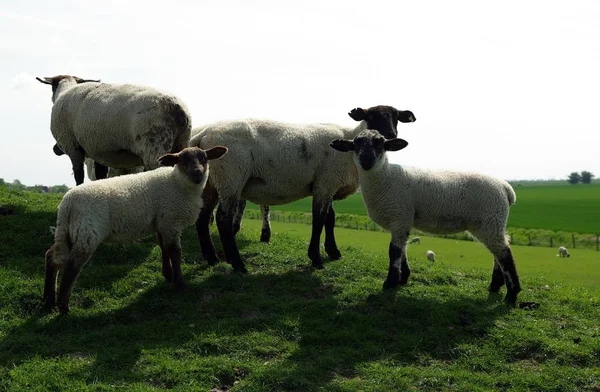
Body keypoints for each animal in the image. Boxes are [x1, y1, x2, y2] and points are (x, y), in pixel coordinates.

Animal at [36, 74, 191, 185]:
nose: (55, 149)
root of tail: (179, 111)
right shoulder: (97, 149)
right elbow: (100, 175)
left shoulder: (72, 146)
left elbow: (79, 176)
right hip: (180, 144)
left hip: (155, 146)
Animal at [43, 145, 229, 314]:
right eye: (181, 160)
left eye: (204, 158)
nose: (197, 173)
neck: (177, 183)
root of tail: (67, 203)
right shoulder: (170, 222)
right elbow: (175, 253)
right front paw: (180, 284)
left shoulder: (161, 222)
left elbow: (164, 249)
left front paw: (168, 276)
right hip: (87, 232)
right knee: (72, 266)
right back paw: (63, 307)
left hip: (68, 232)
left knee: (52, 258)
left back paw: (49, 302)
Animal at [190, 105, 414, 272]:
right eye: (371, 116)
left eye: (396, 117)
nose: (391, 134)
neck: (350, 140)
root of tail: (203, 134)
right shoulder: (326, 181)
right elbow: (319, 219)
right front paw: (316, 258)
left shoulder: (327, 183)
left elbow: (330, 219)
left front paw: (333, 252)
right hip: (230, 177)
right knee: (223, 220)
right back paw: (237, 265)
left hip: (211, 183)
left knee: (203, 218)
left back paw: (212, 258)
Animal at [330, 130, 524, 304]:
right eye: (356, 144)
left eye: (381, 144)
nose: (367, 160)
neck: (386, 178)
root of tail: (506, 188)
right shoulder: (402, 219)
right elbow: (402, 250)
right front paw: (402, 279)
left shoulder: (399, 215)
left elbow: (394, 251)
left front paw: (390, 283)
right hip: (491, 221)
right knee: (498, 251)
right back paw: (495, 286)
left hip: (490, 217)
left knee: (504, 253)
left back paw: (512, 295)